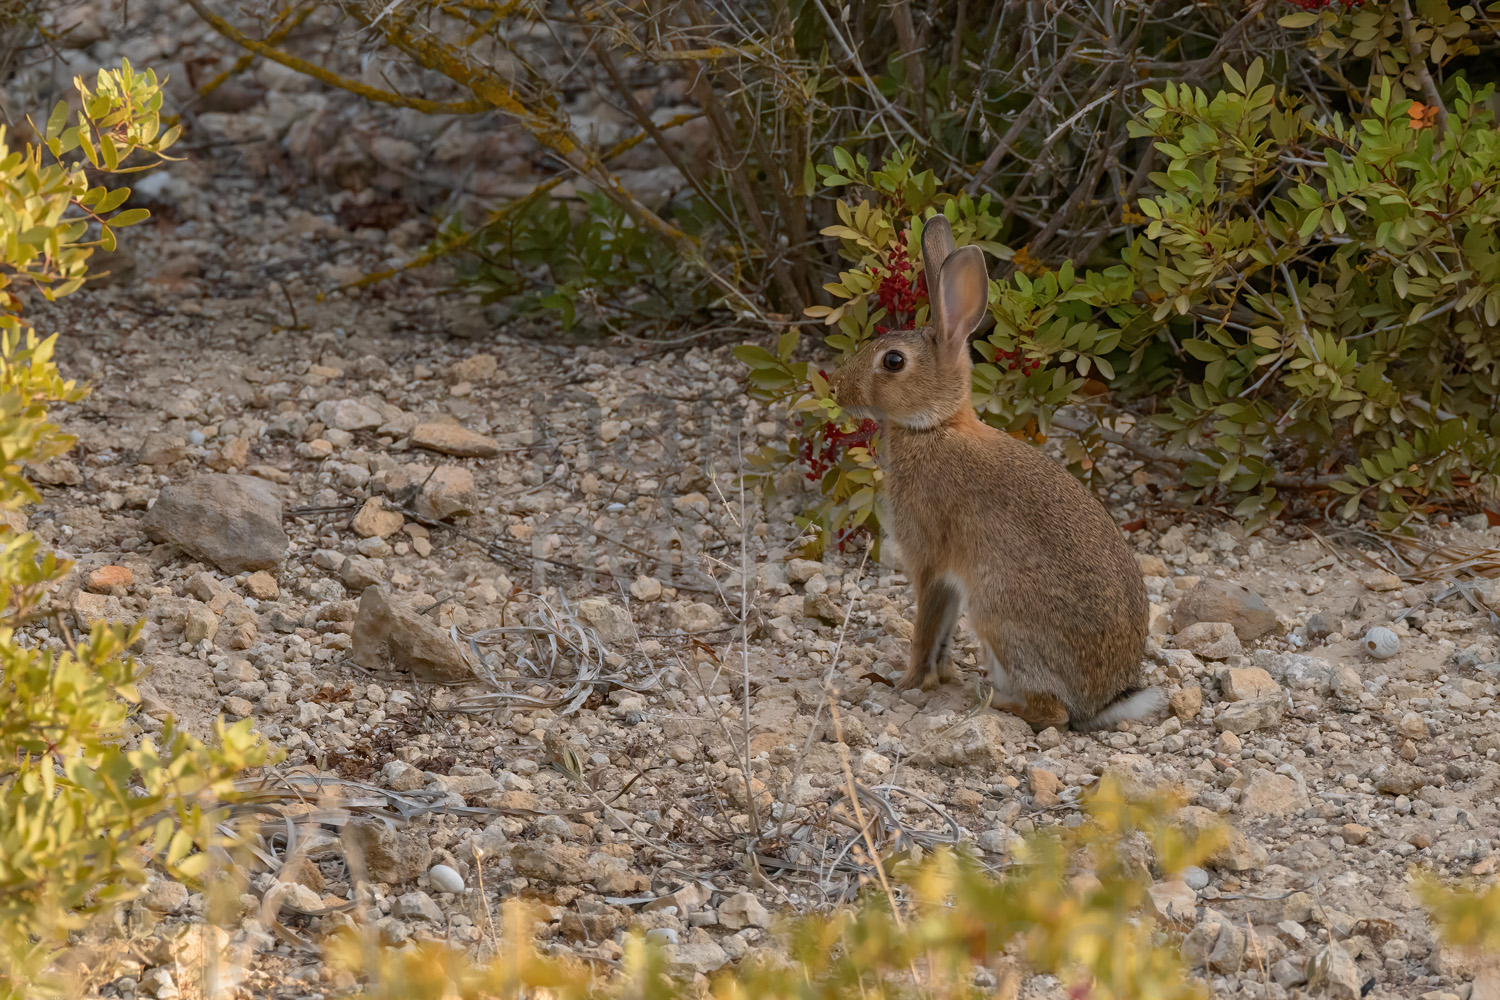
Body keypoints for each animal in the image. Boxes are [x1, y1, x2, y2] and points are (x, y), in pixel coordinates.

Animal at [828, 215, 1152, 731]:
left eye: (893, 361)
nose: (837, 388)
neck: (935, 426)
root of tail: (1106, 699)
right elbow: (941, 636)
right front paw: (937, 678)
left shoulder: (930, 562)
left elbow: (925, 629)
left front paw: (905, 683)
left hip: (999, 614)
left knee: (1054, 712)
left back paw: (997, 703)